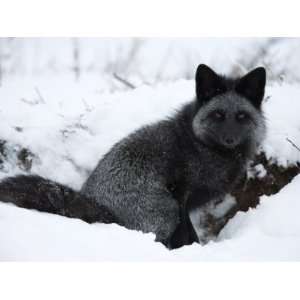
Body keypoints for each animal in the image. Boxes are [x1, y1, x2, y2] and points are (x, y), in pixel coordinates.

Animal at [0, 64, 268, 250]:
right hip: (165, 209)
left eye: (242, 116)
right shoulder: (180, 193)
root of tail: (100, 207)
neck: (201, 147)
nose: (230, 139)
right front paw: (191, 249)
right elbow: (187, 233)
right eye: (218, 115)